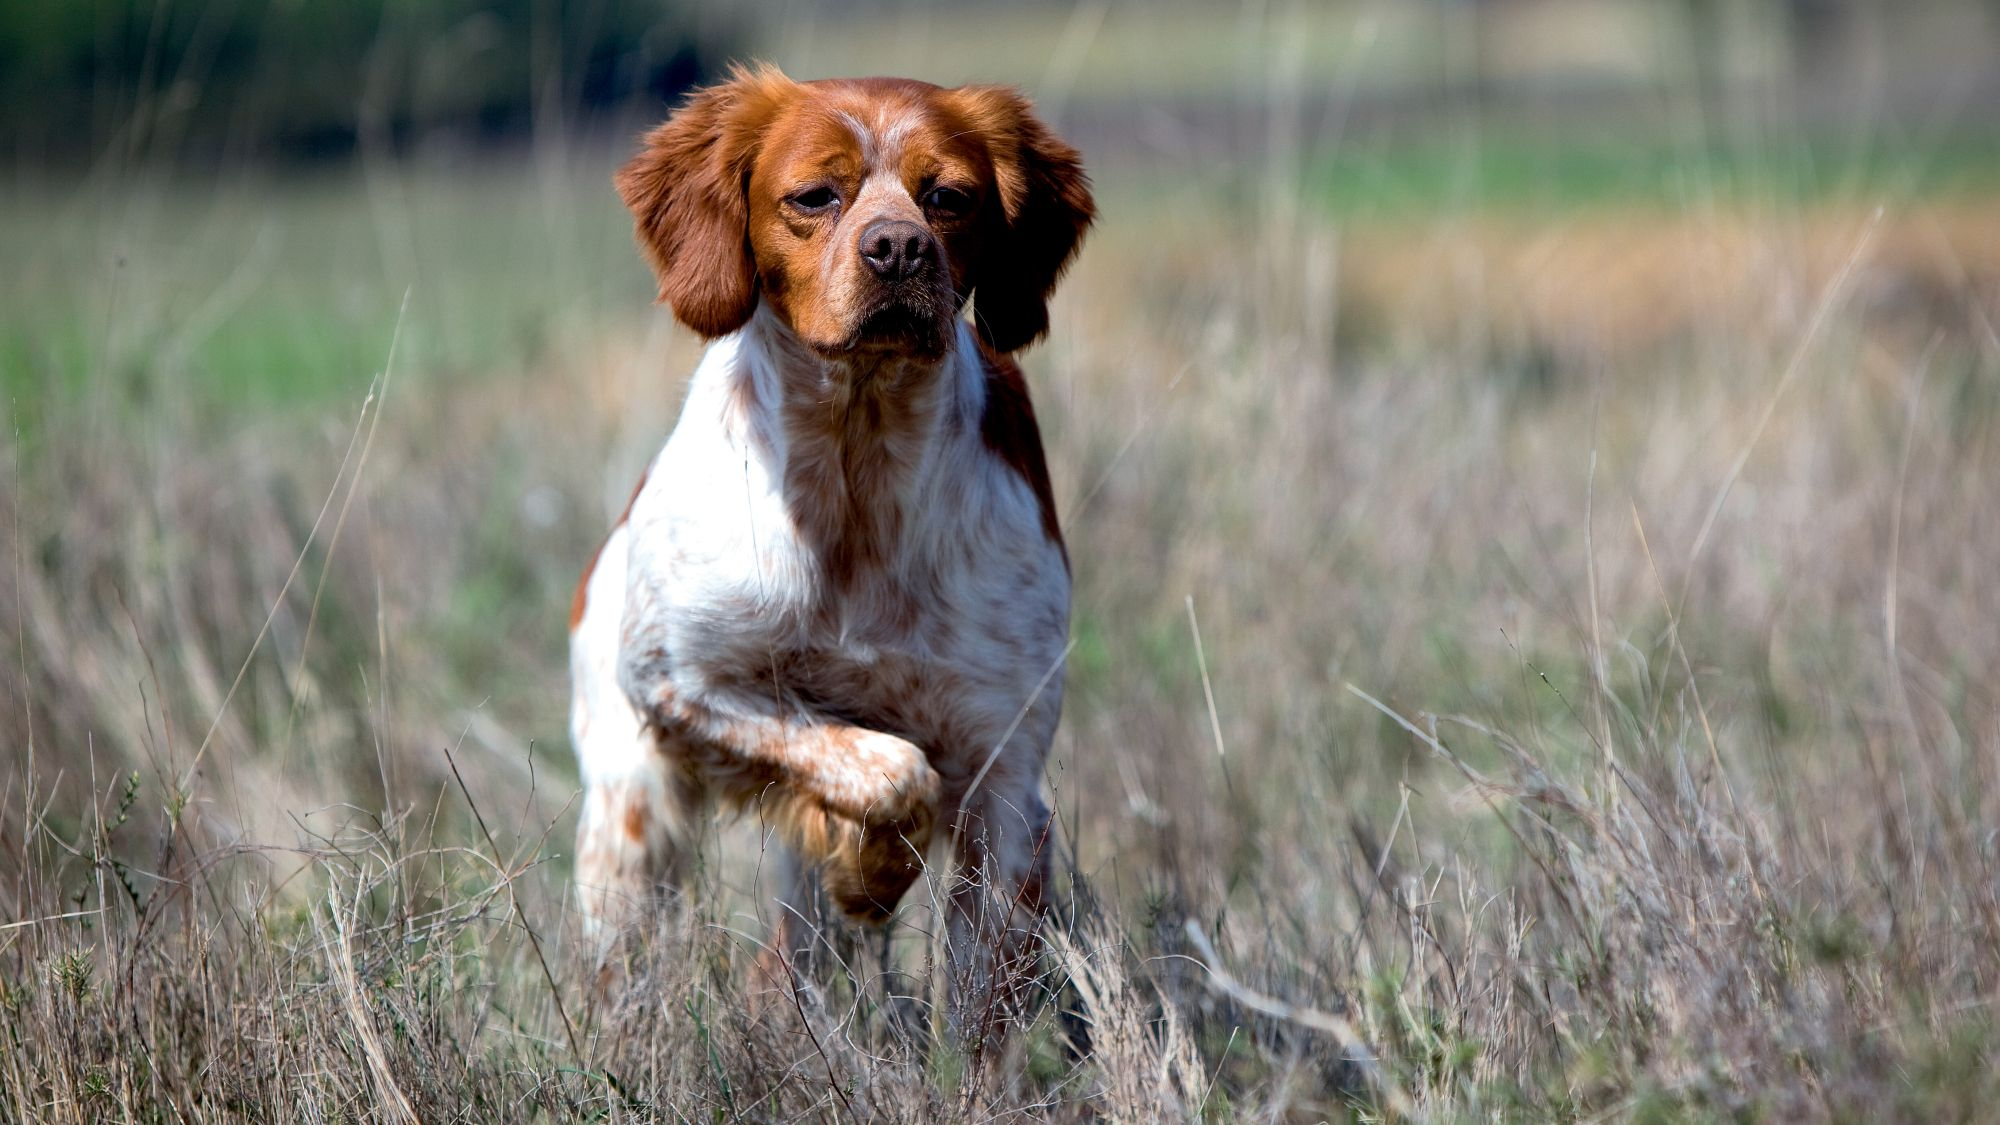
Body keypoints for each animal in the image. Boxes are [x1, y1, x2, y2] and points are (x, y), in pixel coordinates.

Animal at [564, 63, 1096, 1024]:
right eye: (816, 195)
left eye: (949, 197)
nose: (898, 249)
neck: (856, 478)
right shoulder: (675, 677)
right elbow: (890, 769)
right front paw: (872, 871)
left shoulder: (1006, 788)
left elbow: (980, 1015)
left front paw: (872, 875)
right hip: (629, 824)